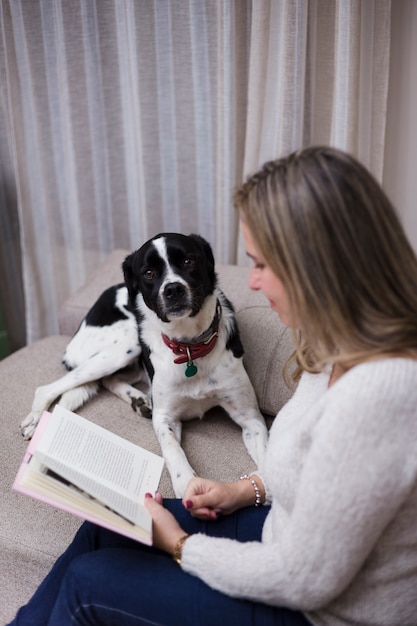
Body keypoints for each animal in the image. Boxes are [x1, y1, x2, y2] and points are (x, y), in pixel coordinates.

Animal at [20, 232, 266, 494]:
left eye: (189, 261)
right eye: (148, 273)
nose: (173, 289)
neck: (190, 347)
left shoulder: (252, 419)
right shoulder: (165, 418)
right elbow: (173, 451)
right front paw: (186, 485)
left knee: (108, 380)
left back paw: (139, 400)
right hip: (125, 344)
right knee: (48, 388)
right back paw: (35, 421)